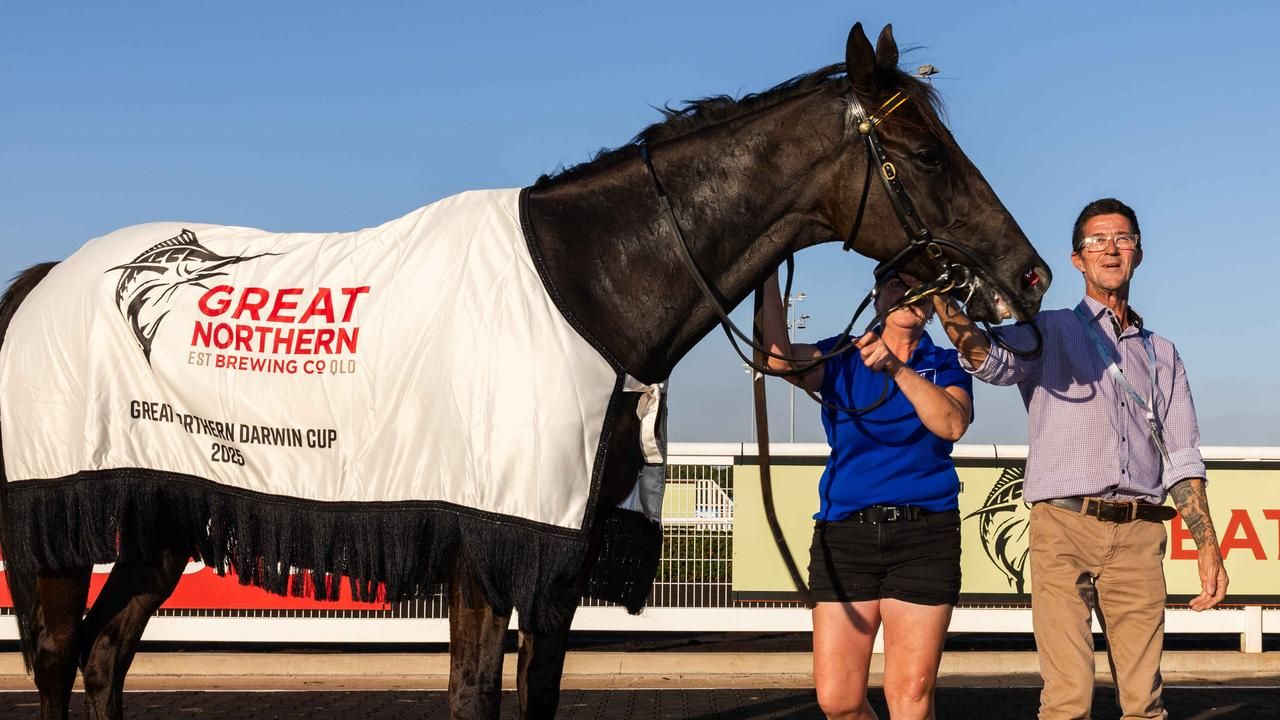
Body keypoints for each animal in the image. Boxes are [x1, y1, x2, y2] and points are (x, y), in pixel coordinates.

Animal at [0, 22, 1049, 720]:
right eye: (925, 151)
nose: (1029, 273)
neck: (583, 286)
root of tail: (44, 278)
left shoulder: (562, 546)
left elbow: (535, 691)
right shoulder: (490, 538)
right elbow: (474, 692)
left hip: (160, 516)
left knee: (104, 655)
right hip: (59, 514)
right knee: (56, 655)